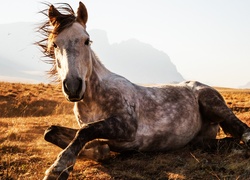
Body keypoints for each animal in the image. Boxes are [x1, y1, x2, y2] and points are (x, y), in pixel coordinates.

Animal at [36, 2, 250, 179]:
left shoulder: (127, 126)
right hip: (200, 139)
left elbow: (86, 130)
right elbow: (52, 131)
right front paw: (97, 150)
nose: (73, 86)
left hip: (212, 103)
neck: (94, 98)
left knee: (243, 130)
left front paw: (58, 168)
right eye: (55, 44)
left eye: (87, 40)